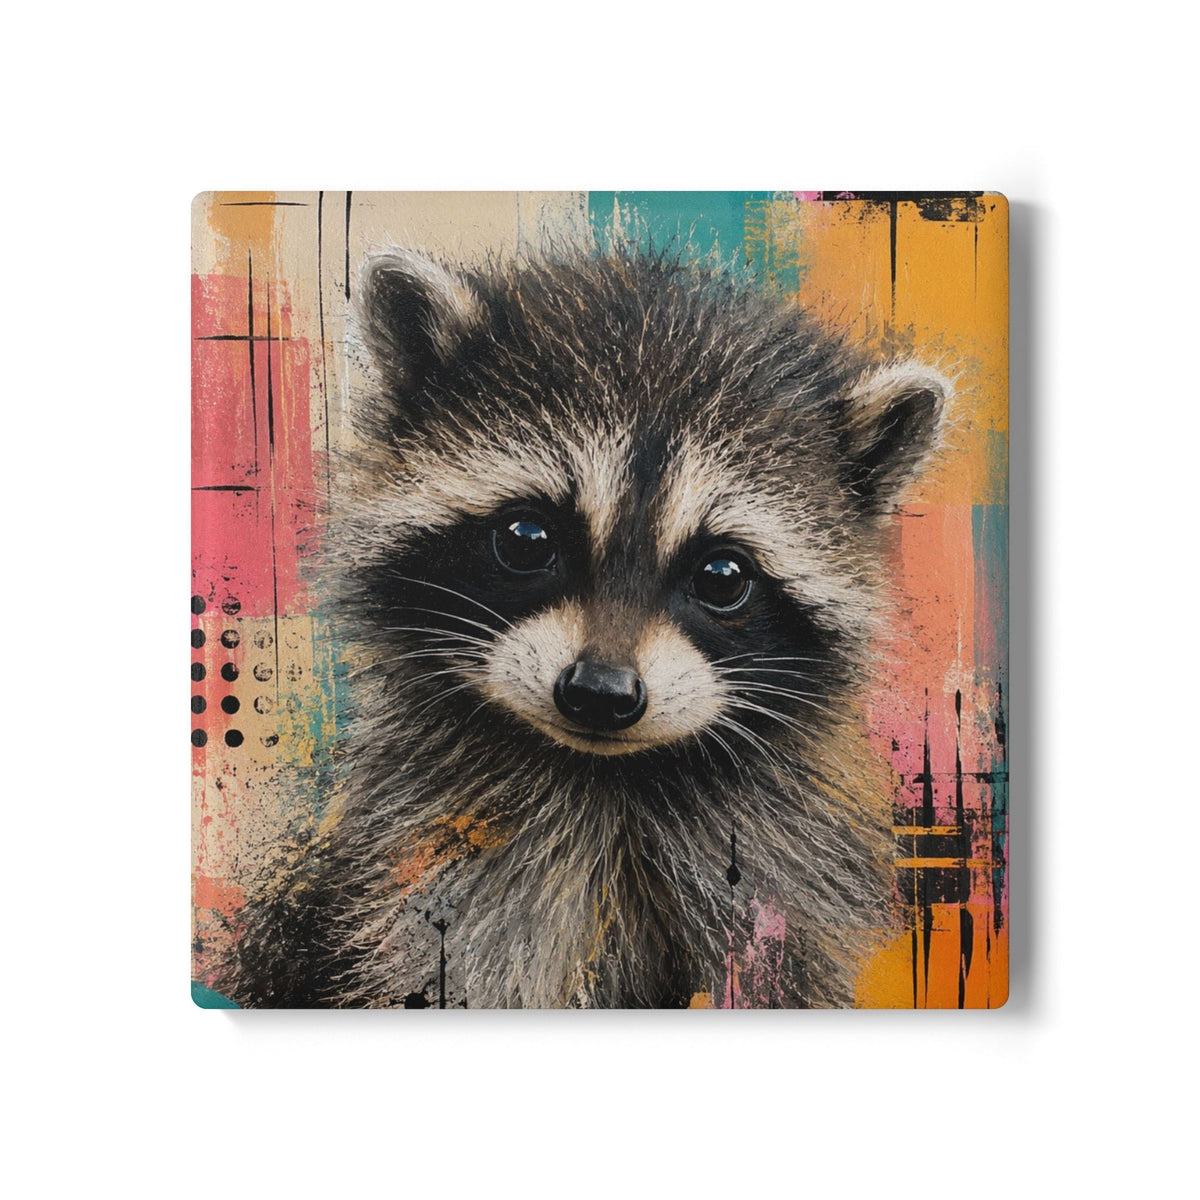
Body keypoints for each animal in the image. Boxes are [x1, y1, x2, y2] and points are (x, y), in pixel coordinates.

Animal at [224, 245, 948, 1009]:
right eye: (526, 538)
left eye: (723, 576)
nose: (601, 693)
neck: (609, 779)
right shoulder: (446, 886)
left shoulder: (783, 888)